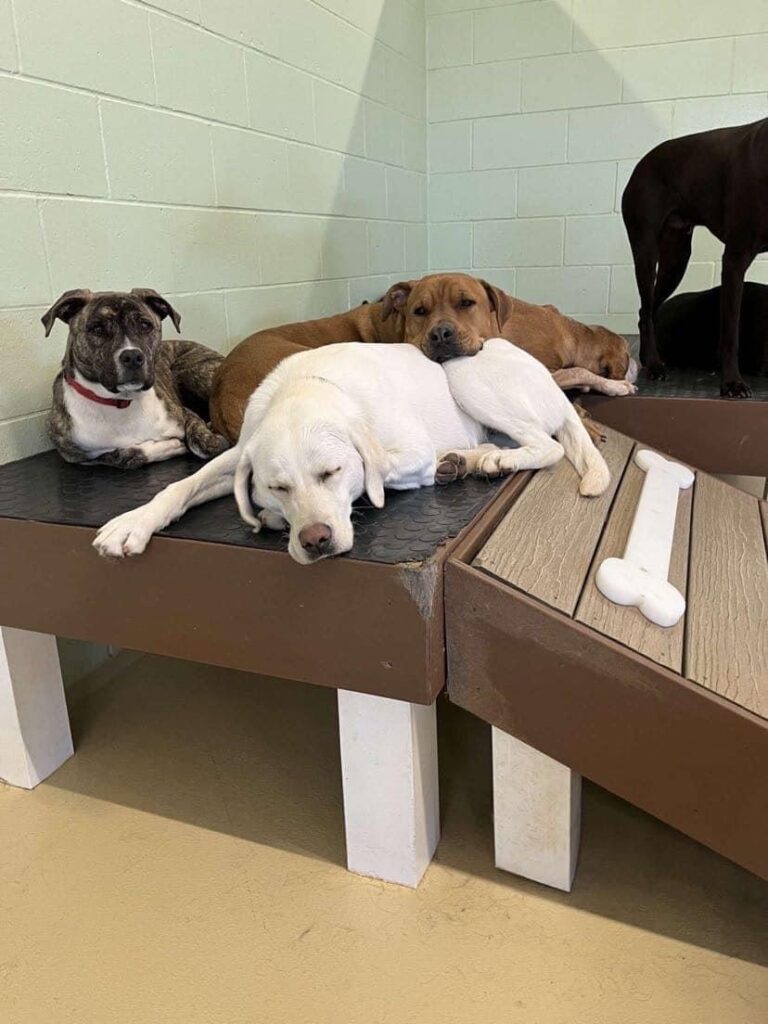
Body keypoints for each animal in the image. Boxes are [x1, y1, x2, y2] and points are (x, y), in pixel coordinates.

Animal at [94, 342, 614, 569]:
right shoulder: (240, 452)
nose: (315, 540)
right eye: (279, 486)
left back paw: (490, 462)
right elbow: (182, 485)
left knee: (546, 445)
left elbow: (378, 472)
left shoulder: (410, 449)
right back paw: (467, 460)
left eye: (332, 472)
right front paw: (132, 523)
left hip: (465, 373)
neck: (308, 386)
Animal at [211, 274, 638, 442]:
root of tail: (221, 392)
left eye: (467, 303)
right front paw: (611, 390)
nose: (441, 333)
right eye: (420, 310)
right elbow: (577, 375)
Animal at [626, 116, 768, 395]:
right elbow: (730, 331)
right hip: (646, 253)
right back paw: (655, 365)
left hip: (675, 259)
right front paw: (732, 382)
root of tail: (641, 165)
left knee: (647, 311)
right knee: (646, 310)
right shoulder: (735, 258)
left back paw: (650, 359)